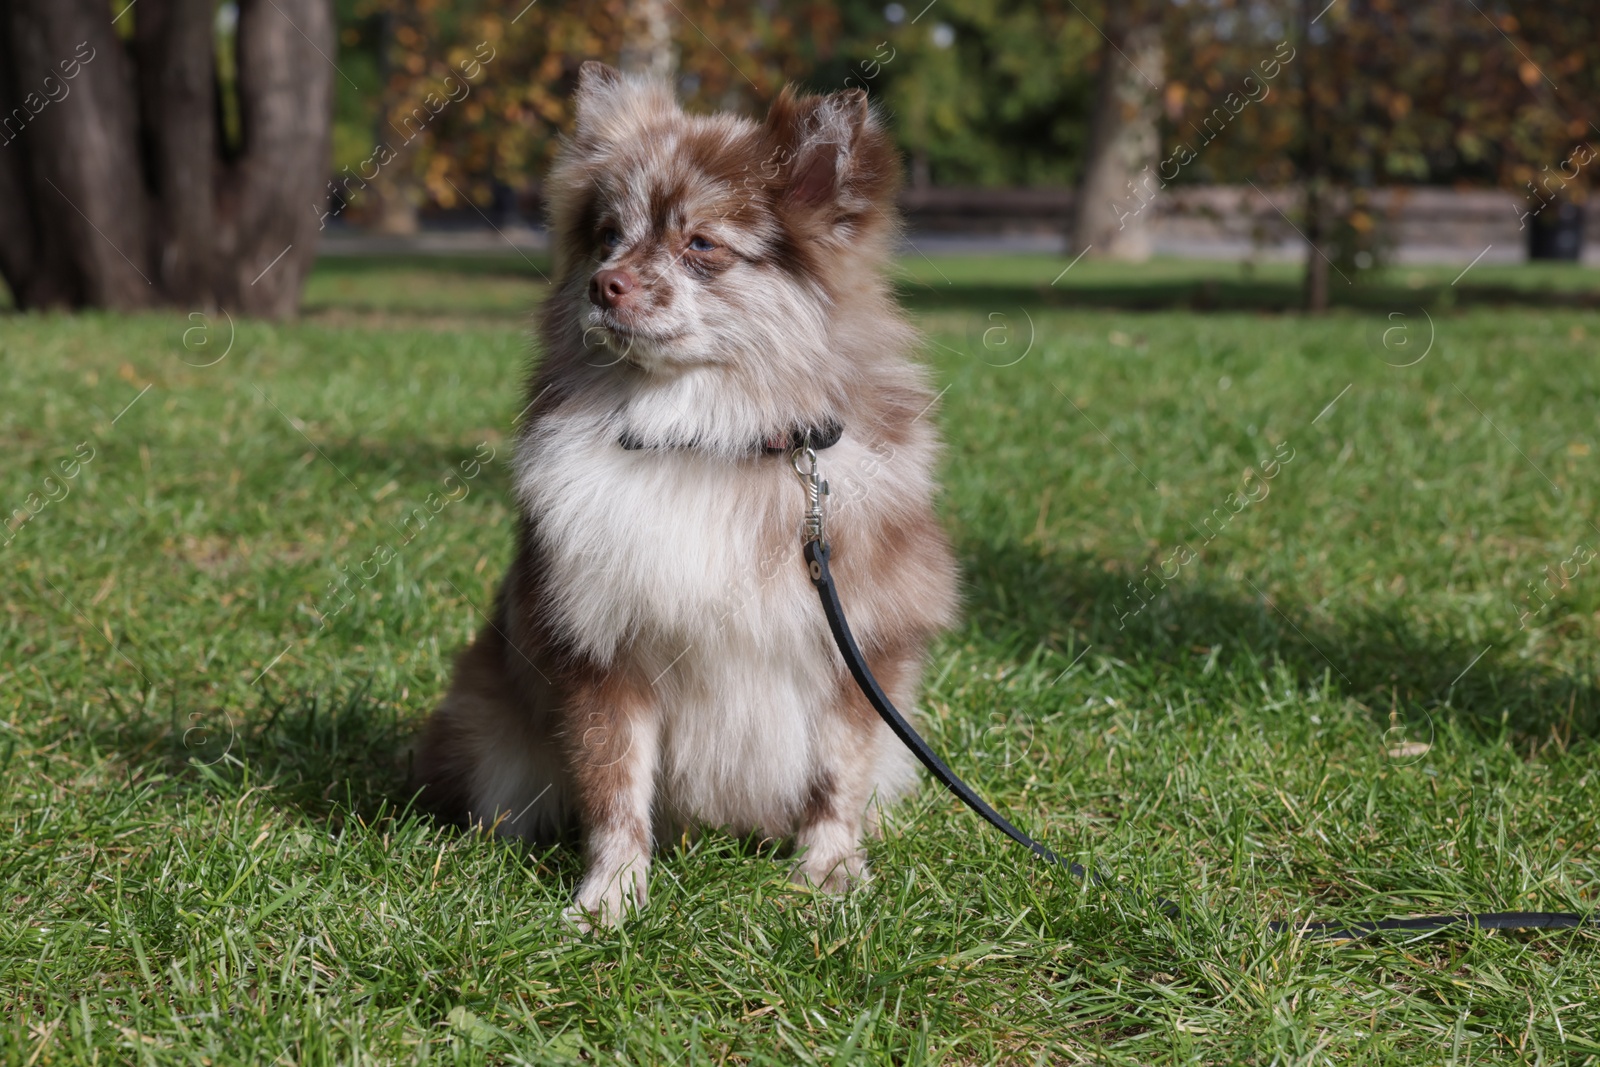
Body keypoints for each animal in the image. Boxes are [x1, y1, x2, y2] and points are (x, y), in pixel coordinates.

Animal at [419, 62, 953, 927]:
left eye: (701, 244)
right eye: (608, 236)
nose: (603, 284)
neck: (708, 440)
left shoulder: (860, 646)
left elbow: (838, 774)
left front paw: (830, 870)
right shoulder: (604, 648)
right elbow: (614, 784)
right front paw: (611, 895)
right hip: (487, 718)